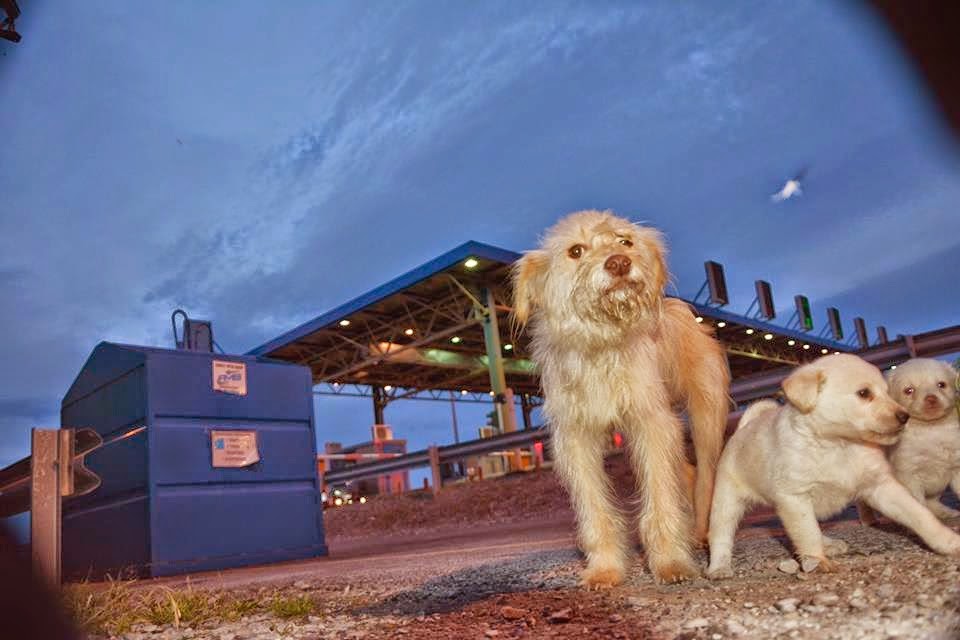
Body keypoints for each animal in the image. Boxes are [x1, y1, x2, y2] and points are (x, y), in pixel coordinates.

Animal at [512, 210, 732, 584]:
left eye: (625, 241)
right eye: (575, 251)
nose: (618, 263)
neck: (601, 342)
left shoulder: (652, 424)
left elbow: (660, 497)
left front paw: (671, 562)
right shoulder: (575, 439)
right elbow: (594, 509)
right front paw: (605, 568)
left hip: (706, 418)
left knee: (705, 477)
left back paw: (702, 534)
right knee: (686, 472)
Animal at [884, 360, 960, 520]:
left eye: (941, 385)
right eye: (909, 390)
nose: (931, 398)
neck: (931, 429)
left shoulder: (957, 465)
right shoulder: (909, 475)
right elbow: (919, 505)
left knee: (932, 502)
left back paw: (945, 512)